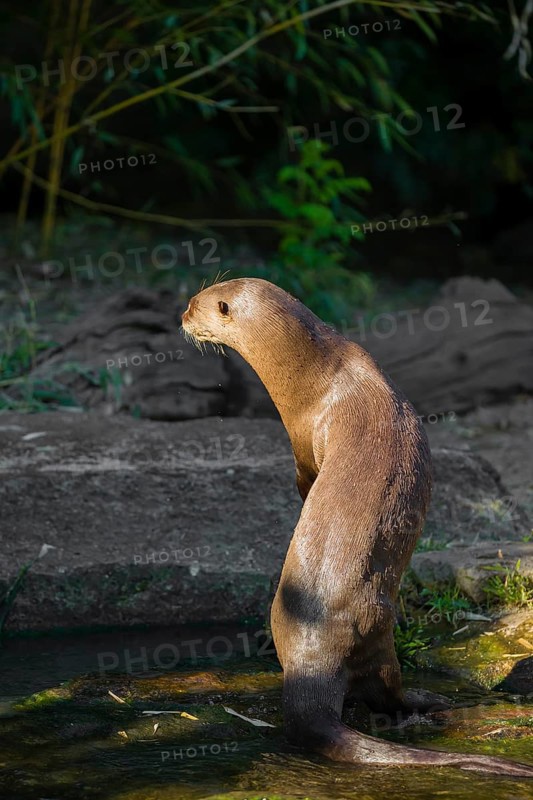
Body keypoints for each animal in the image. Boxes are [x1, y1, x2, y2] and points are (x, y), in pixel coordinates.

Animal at [181, 277, 533, 777]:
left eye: (197, 304)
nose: (181, 316)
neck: (319, 375)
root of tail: (313, 659)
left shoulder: (301, 442)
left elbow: (305, 480)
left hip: (376, 632)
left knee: (388, 696)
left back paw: (428, 700)